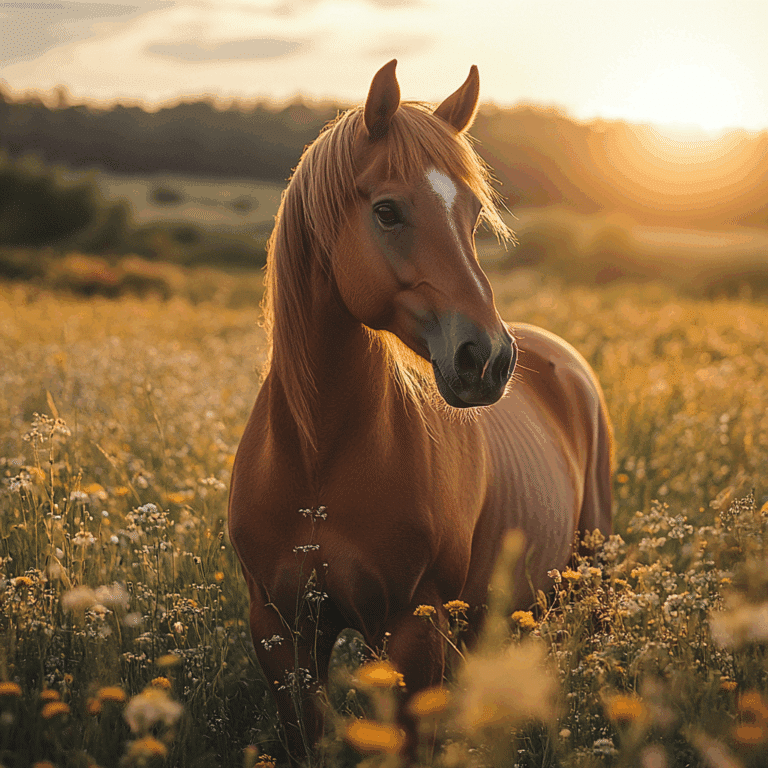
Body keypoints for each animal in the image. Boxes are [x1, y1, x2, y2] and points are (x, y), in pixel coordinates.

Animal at [228, 59, 613, 758]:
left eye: (472, 214)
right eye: (387, 211)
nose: (488, 359)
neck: (318, 456)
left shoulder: (411, 629)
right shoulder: (280, 632)